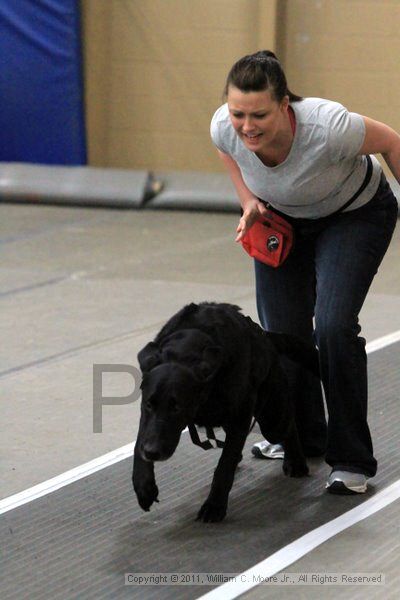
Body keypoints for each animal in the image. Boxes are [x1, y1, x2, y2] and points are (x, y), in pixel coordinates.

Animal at [133, 302, 320, 524]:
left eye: (176, 407)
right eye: (149, 405)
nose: (152, 452)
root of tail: (265, 336)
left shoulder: (241, 416)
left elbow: (225, 465)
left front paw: (214, 506)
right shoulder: (147, 417)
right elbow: (139, 443)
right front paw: (144, 487)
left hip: (272, 418)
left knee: (289, 425)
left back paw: (296, 462)